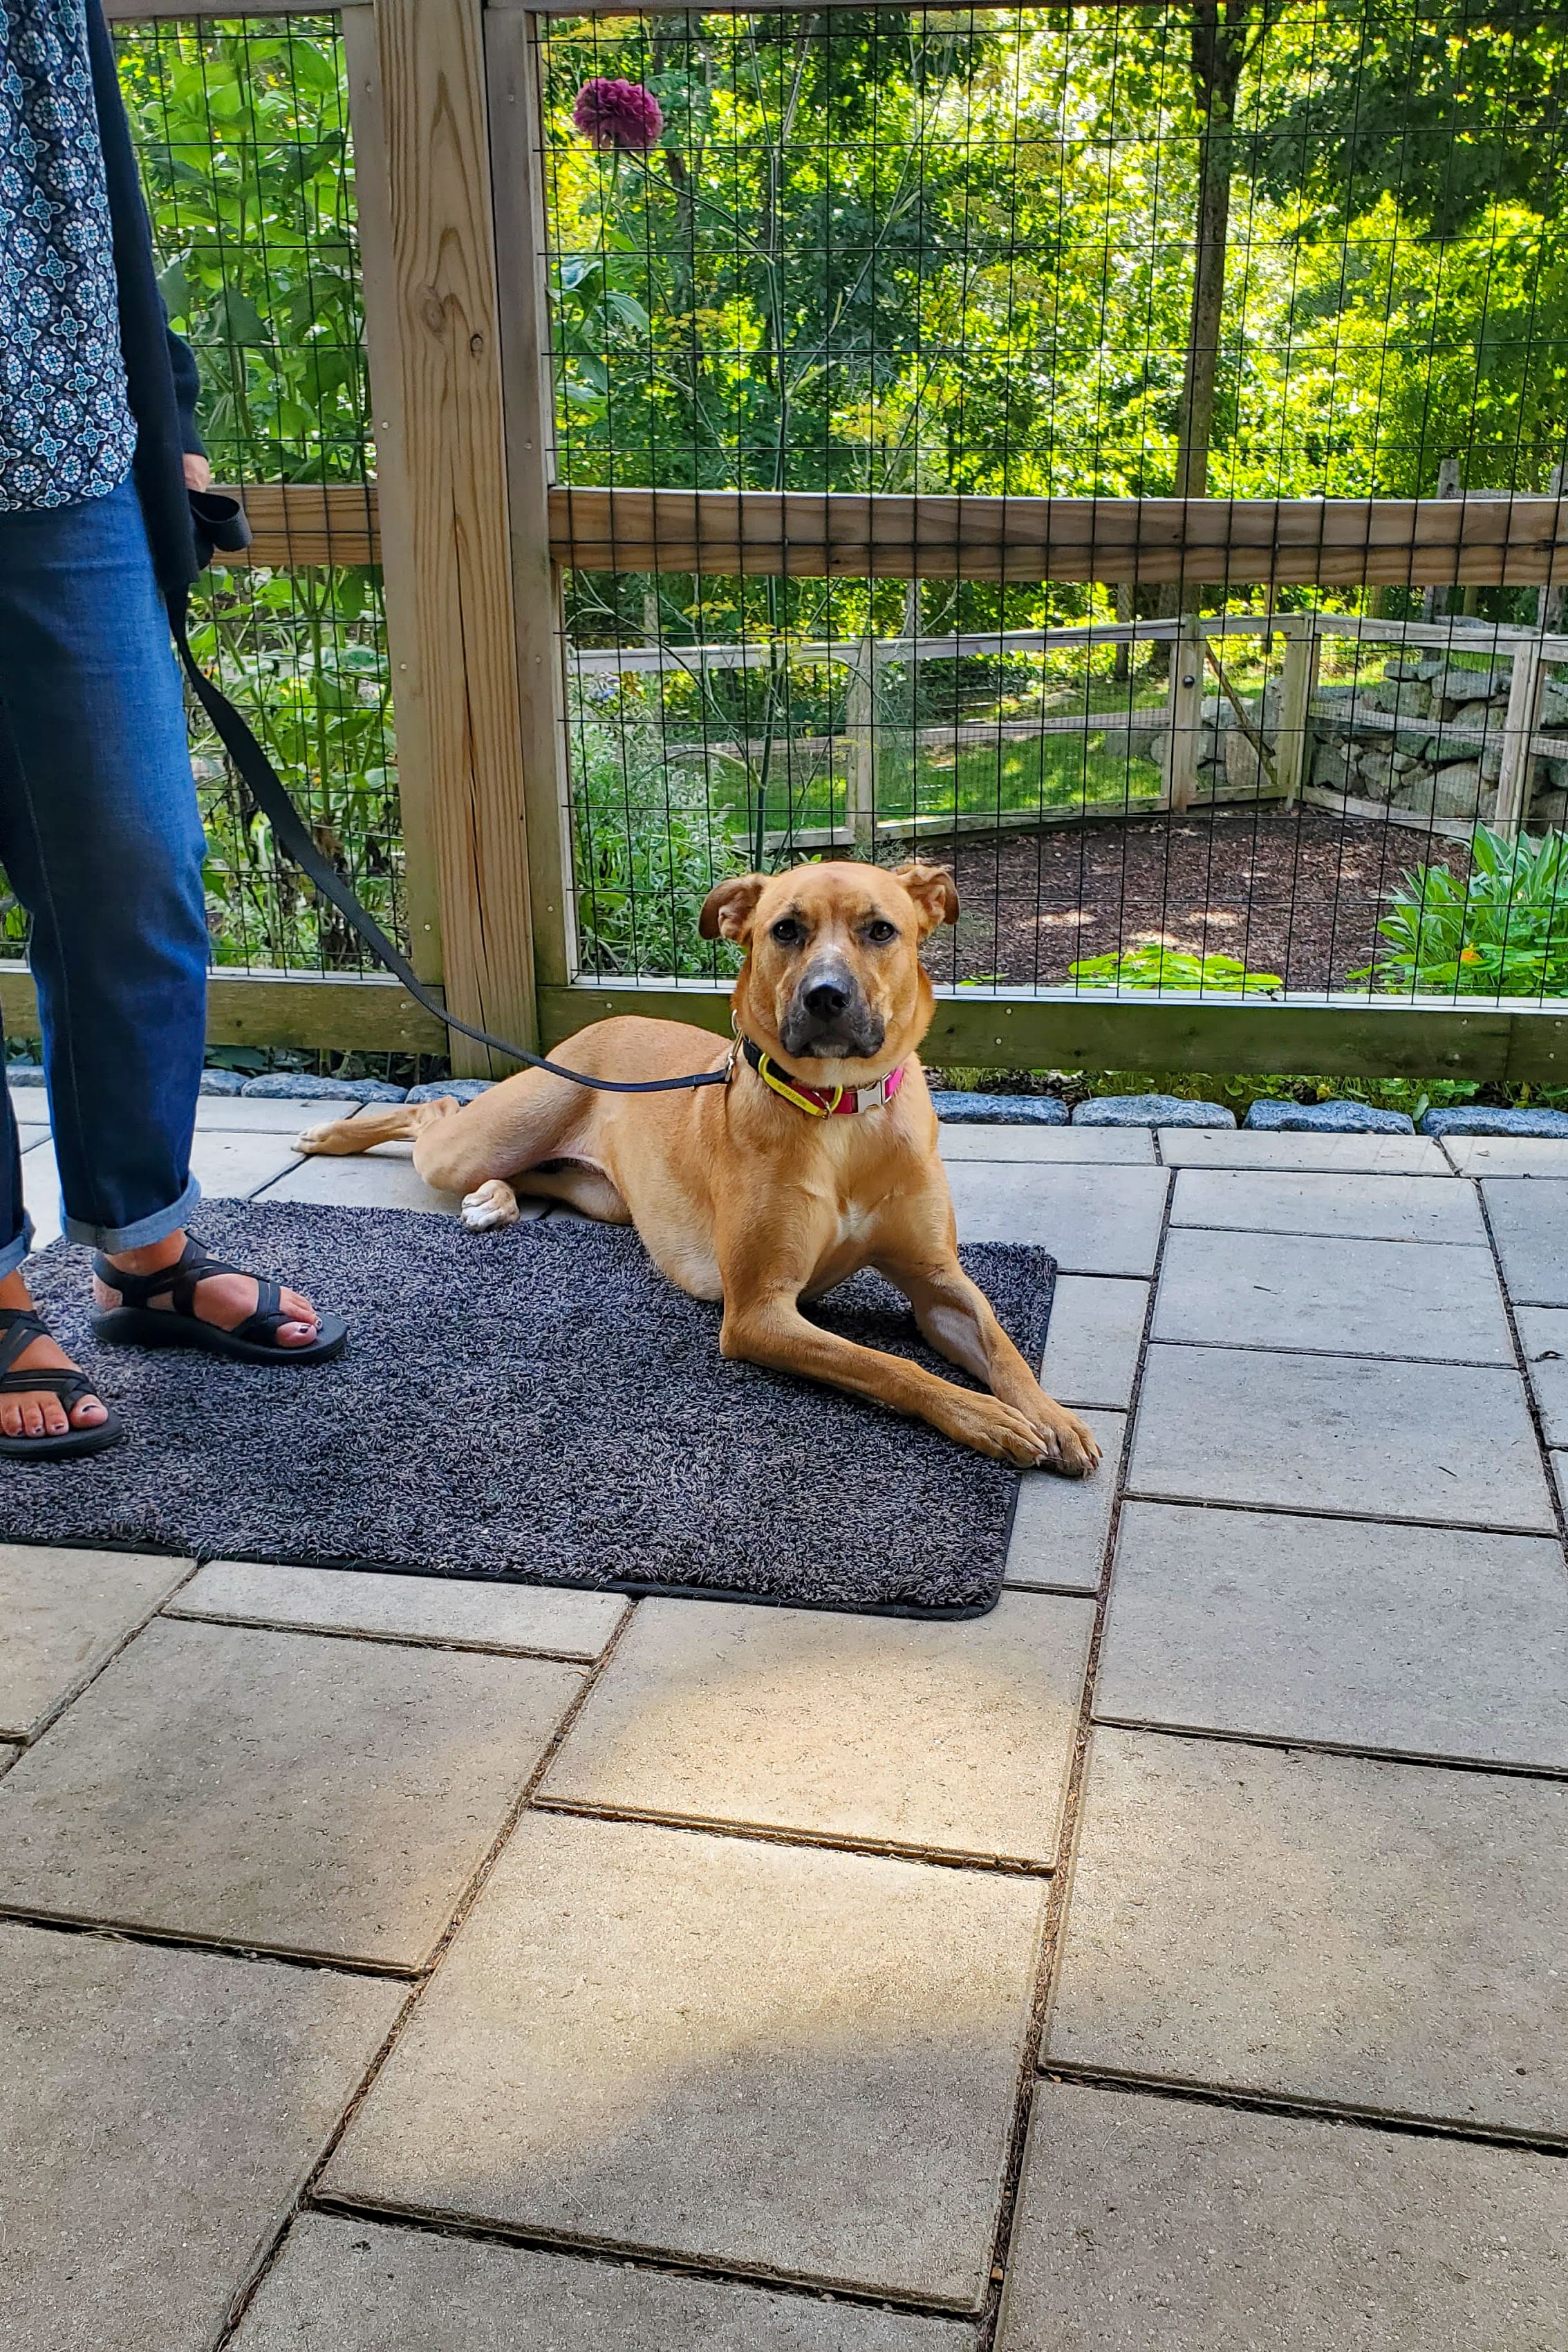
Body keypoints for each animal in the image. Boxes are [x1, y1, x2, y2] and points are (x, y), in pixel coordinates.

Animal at [301, 856, 1100, 1477]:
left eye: (881, 929)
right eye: (786, 929)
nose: (826, 997)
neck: (842, 1115)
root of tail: (607, 1019)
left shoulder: (939, 1281)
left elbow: (1002, 1345)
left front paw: (1050, 1416)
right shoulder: (760, 1312)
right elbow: (886, 1365)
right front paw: (985, 1417)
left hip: (600, 1193)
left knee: (515, 1162)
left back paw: (494, 1200)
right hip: (484, 1137)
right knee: (433, 1107)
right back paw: (330, 1134)